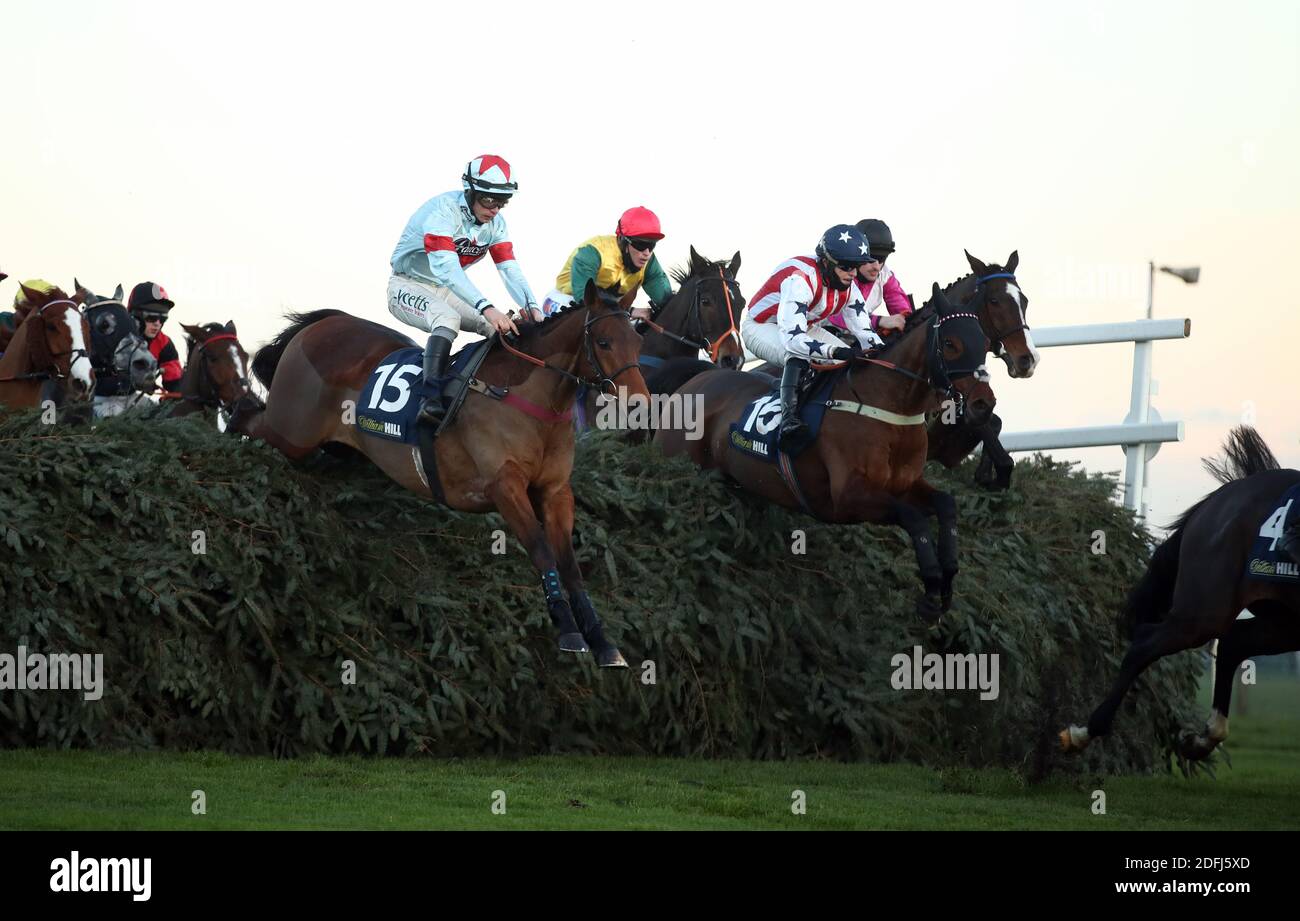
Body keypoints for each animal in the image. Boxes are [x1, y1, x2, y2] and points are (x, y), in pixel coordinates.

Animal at [232, 280, 650, 660]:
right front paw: (568, 631)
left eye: (637, 340)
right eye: (604, 342)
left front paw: (602, 640)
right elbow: (541, 549)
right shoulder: (504, 485)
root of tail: (320, 325)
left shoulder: (555, 491)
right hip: (291, 431)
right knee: (248, 419)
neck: (526, 397)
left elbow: (570, 564)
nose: (640, 405)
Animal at [655, 283, 987, 621]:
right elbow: (914, 519)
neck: (888, 408)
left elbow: (946, 505)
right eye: (950, 343)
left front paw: (947, 582)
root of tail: (698, 379)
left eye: (985, 342)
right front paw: (931, 591)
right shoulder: (847, 498)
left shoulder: (905, 485)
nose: (982, 403)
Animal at [1060, 429, 1300, 759]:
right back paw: (1084, 732)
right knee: (1144, 645)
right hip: (1203, 610)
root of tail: (1222, 496)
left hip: (1283, 619)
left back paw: (1203, 738)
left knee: (1233, 642)